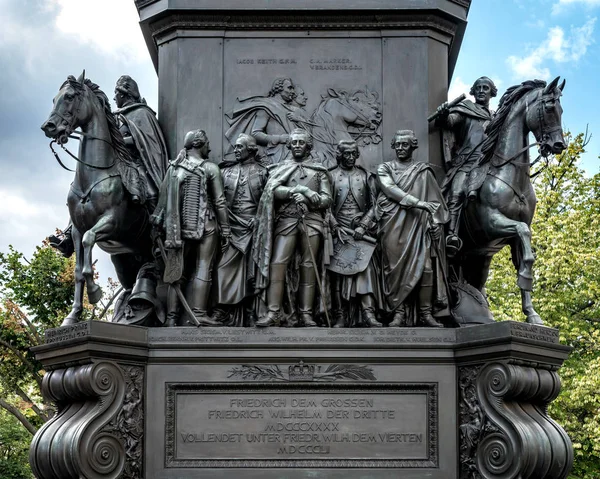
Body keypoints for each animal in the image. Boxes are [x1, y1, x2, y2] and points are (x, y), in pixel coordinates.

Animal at [40, 72, 152, 326]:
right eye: (53, 98)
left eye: (70, 96)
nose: (48, 126)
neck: (94, 174)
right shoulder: (76, 229)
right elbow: (78, 271)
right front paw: (73, 315)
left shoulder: (111, 222)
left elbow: (89, 241)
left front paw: (94, 292)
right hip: (123, 258)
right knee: (128, 283)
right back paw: (127, 313)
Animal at [458, 78, 564, 326]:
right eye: (549, 108)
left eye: (562, 110)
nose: (559, 145)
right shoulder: (491, 223)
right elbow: (523, 231)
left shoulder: (513, 237)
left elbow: (525, 256)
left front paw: (532, 314)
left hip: (480, 258)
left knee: (478, 283)